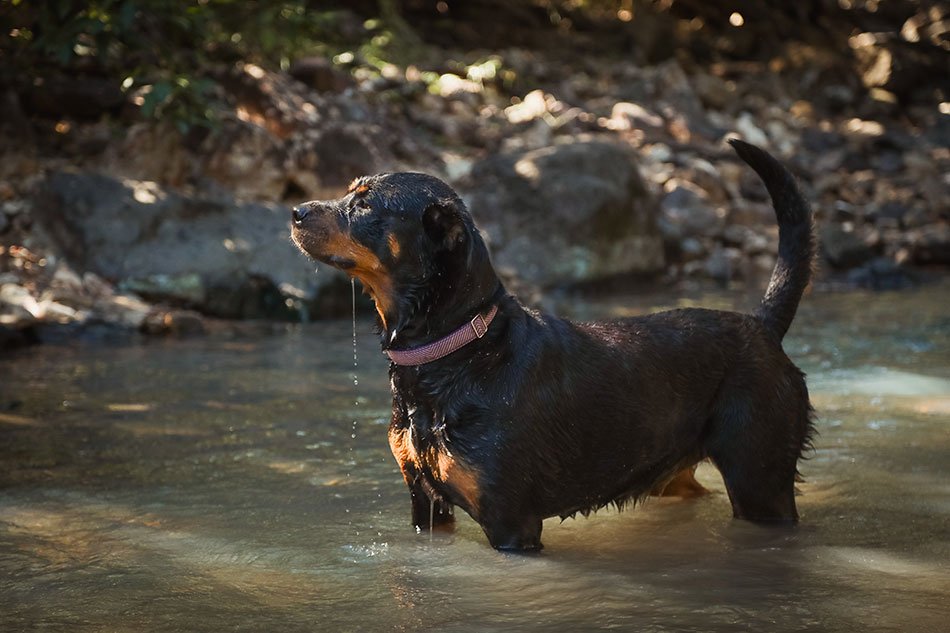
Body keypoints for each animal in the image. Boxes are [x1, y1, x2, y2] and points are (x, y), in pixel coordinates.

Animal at [292, 141, 820, 552]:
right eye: (349, 190)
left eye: (364, 205)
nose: (296, 212)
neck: (455, 353)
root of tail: (761, 326)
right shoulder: (426, 504)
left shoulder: (511, 522)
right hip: (678, 474)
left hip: (760, 478)